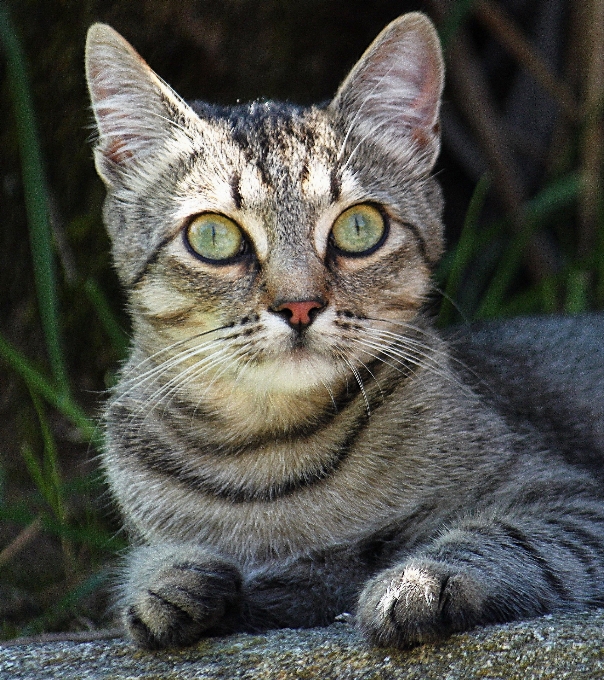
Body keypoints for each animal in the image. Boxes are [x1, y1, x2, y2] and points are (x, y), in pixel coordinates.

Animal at [84, 10, 604, 648]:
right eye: (212, 236)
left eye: (360, 227)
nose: (300, 306)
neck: (267, 455)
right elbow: (154, 568)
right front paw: (163, 579)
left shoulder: (570, 497)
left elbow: (507, 537)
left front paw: (423, 577)